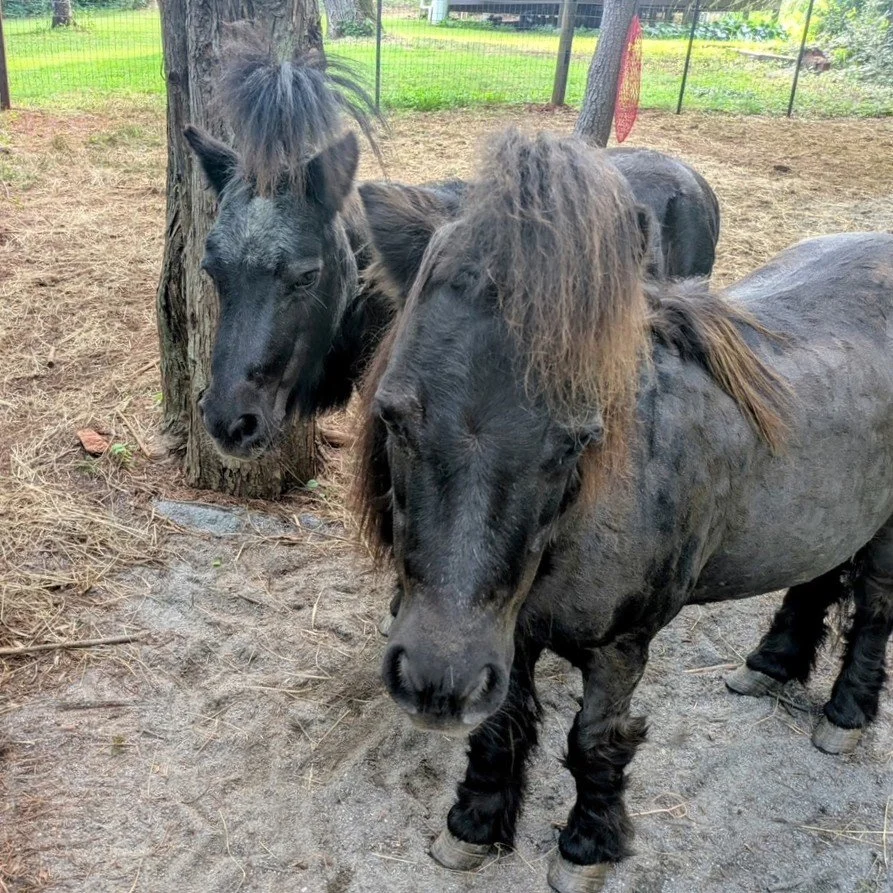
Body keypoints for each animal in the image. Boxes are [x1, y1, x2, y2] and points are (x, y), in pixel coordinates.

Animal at [351, 128, 893, 893]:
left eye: (577, 439)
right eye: (394, 416)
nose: (436, 683)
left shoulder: (618, 644)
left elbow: (596, 741)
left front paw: (588, 845)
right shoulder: (504, 634)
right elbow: (499, 727)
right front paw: (475, 825)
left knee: (874, 609)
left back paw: (844, 715)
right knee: (813, 578)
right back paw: (770, 664)